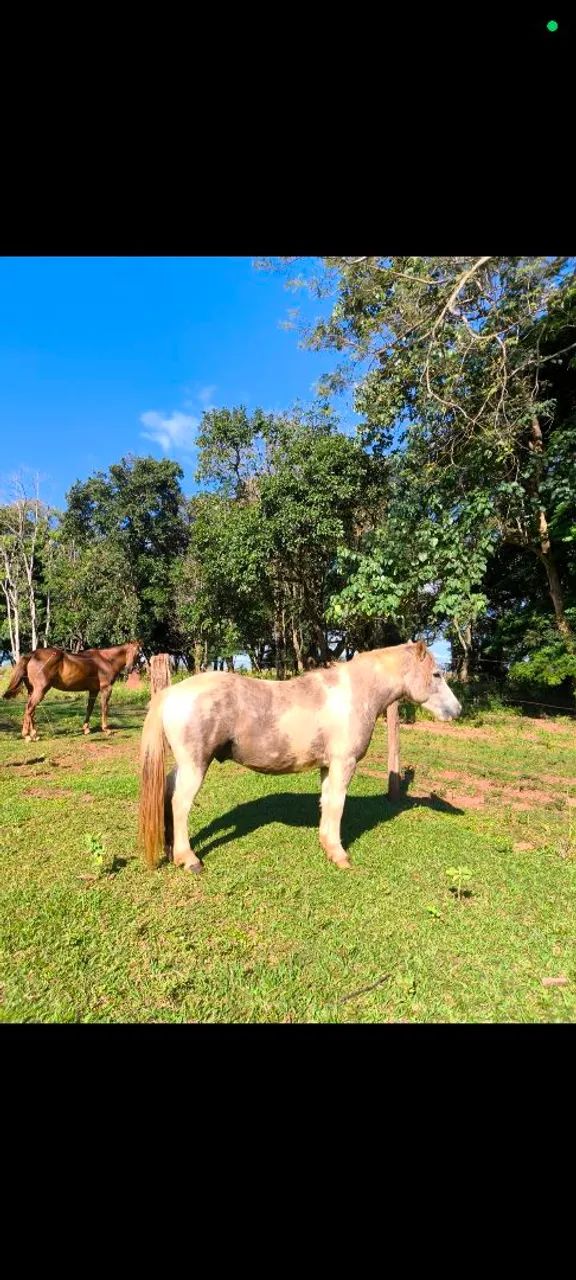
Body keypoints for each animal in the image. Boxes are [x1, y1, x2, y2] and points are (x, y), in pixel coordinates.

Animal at [3, 641, 142, 741]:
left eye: (138, 653)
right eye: (133, 652)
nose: (129, 669)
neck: (106, 660)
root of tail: (32, 655)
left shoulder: (93, 691)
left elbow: (89, 708)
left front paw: (86, 729)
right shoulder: (106, 689)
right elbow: (104, 708)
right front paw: (106, 729)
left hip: (32, 691)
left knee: (31, 710)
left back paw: (34, 734)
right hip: (40, 690)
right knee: (30, 708)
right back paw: (27, 735)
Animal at [139, 640, 462, 874]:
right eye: (436, 674)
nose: (457, 710)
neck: (354, 695)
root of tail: (171, 693)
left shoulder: (328, 767)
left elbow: (327, 804)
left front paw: (327, 846)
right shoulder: (343, 764)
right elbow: (337, 805)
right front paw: (340, 856)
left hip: (184, 765)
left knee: (167, 793)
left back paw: (171, 849)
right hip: (195, 765)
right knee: (180, 804)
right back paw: (189, 858)